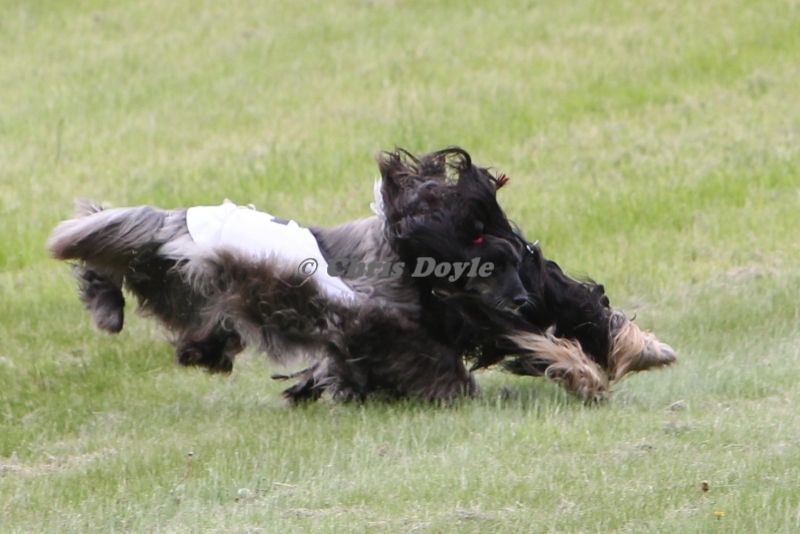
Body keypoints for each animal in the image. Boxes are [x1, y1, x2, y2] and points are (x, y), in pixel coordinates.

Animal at [48, 148, 527, 402]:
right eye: (493, 261)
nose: (524, 301)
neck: (394, 250)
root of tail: (181, 218)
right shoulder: (368, 317)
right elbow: (415, 352)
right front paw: (452, 387)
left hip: (174, 279)